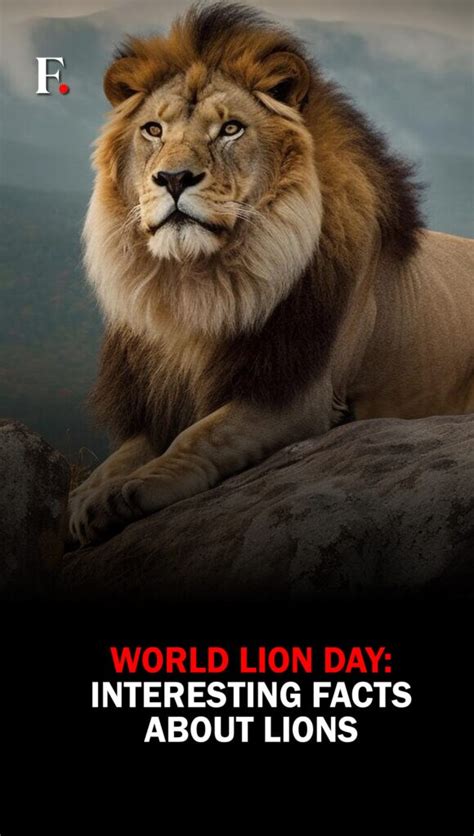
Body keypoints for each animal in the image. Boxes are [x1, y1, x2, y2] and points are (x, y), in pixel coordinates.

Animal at [69, 3, 474, 545]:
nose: (173, 178)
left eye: (231, 129)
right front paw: (90, 495)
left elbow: (200, 436)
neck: (197, 288)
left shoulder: (298, 395)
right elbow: (123, 455)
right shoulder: (161, 402)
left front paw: (132, 489)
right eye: (153, 130)